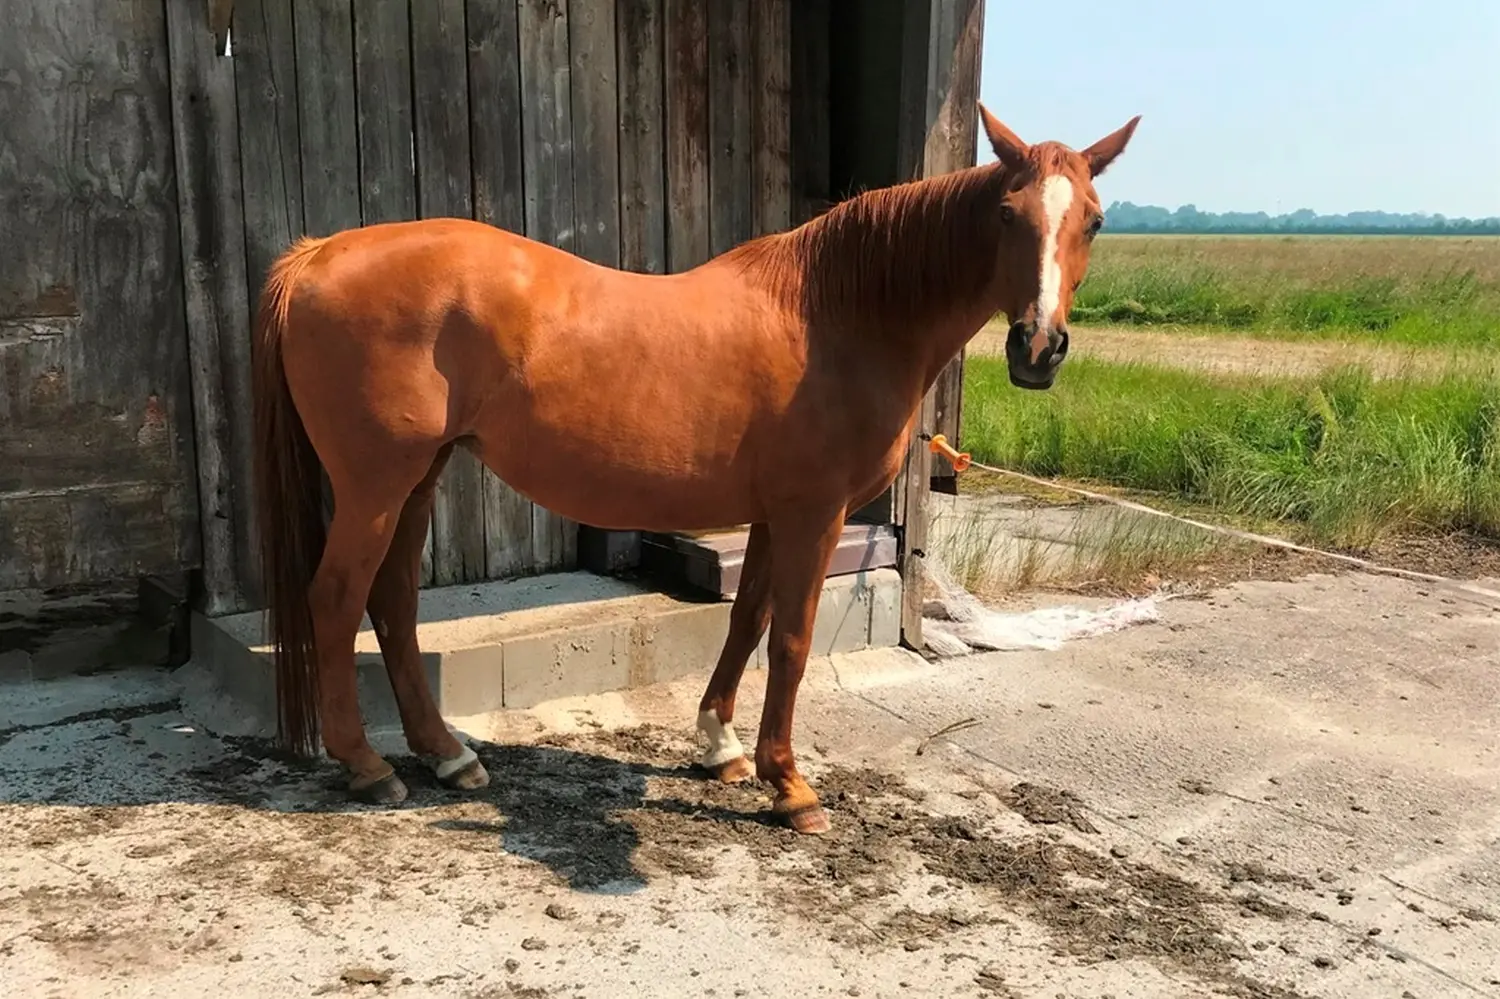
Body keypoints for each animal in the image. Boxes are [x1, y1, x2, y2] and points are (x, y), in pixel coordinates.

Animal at [250, 103, 1139, 834]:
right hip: (376, 482)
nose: (1038, 348)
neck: (838, 315)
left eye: (1094, 221)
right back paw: (367, 767)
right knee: (338, 597)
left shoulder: (772, 514)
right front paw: (791, 787)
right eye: (1007, 213)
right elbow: (792, 640)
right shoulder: (814, 513)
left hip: (420, 475)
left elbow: (746, 622)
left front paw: (722, 745)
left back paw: (447, 754)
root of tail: (319, 254)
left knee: (393, 601)